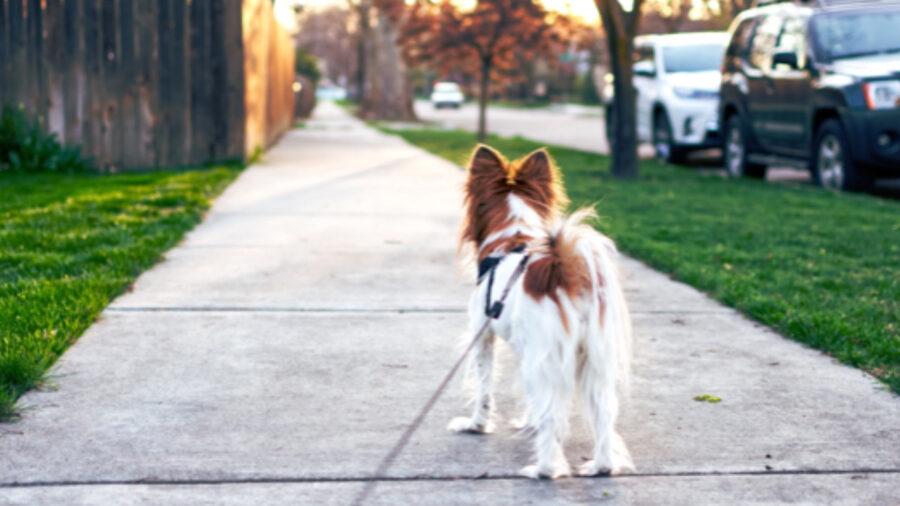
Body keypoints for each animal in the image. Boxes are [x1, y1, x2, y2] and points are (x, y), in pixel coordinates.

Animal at [448, 145, 632, 478]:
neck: (513, 236)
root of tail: (565, 271)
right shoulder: (530, 351)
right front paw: (527, 422)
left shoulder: (483, 336)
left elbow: (484, 389)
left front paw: (476, 426)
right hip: (593, 360)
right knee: (604, 414)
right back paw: (601, 466)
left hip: (547, 357)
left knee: (553, 418)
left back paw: (543, 469)